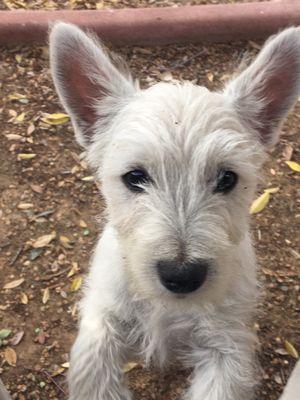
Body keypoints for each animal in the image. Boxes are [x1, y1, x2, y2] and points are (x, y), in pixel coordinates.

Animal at [49, 22, 300, 400]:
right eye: (135, 177)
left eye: (227, 178)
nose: (182, 276)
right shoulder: (103, 315)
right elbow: (94, 368)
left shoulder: (227, 347)